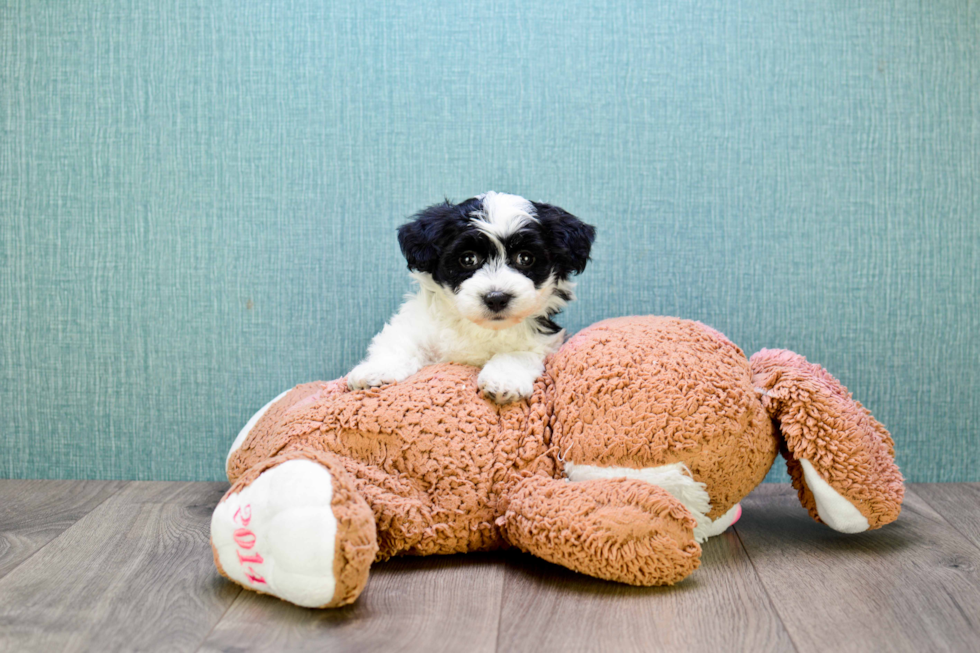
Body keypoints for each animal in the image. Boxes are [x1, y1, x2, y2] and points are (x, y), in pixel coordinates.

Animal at [350, 190, 596, 402]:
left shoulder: (543, 341)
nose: (496, 297)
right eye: (468, 259)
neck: (479, 327)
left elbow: (518, 354)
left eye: (525, 258)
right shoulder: (420, 326)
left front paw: (503, 380)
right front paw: (375, 370)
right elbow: (400, 343)